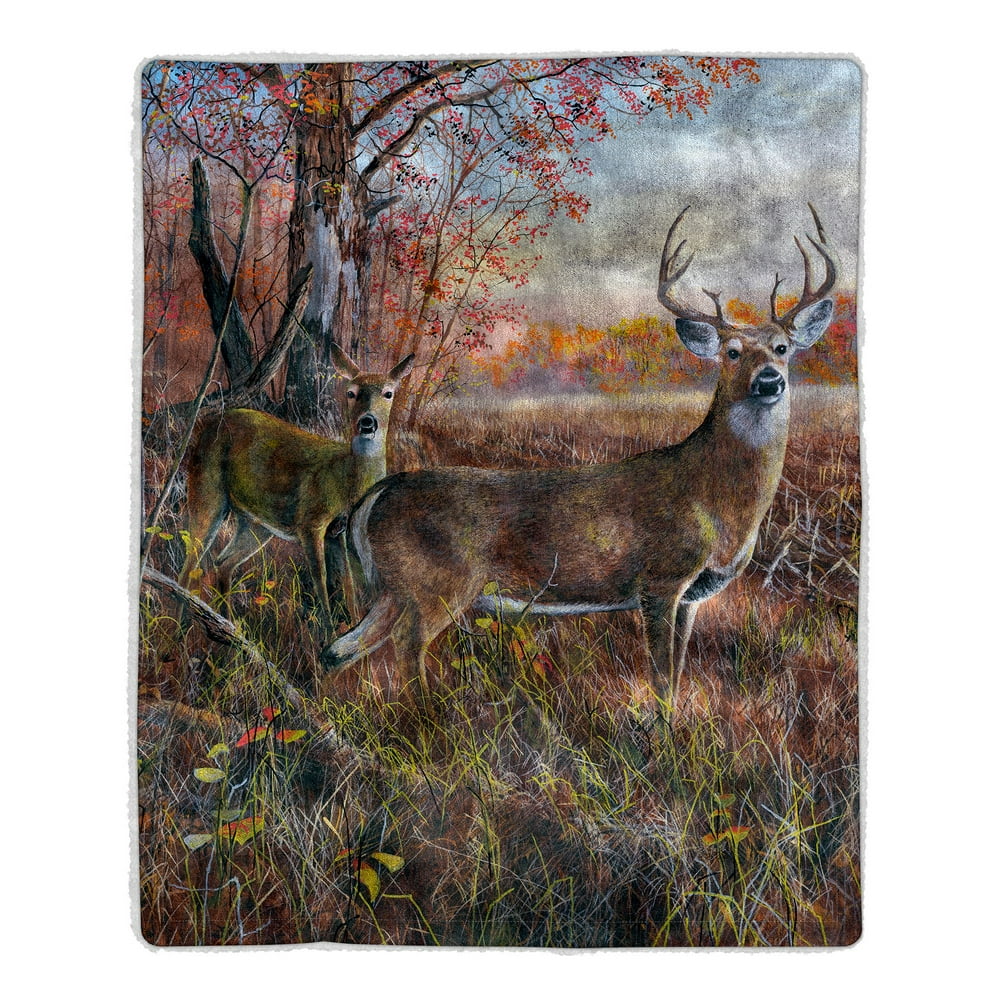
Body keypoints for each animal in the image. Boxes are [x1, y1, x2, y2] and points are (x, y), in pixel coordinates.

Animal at [178, 345, 415, 625]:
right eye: (351, 392)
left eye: (389, 393)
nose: (367, 422)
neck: (346, 480)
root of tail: (211, 423)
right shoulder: (310, 522)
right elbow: (321, 580)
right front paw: (329, 630)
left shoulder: (338, 532)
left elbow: (347, 583)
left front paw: (352, 625)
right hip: (206, 490)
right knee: (189, 565)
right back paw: (183, 626)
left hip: (258, 523)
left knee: (222, 561)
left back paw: (229, 624)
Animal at [319, 206, 835, 703]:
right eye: (731, 351)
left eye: (782, 348)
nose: (769, 379)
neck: (715, 501)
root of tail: (377, 493)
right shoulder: (661, 578)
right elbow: (661, 679)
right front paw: (662, 732)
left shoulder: (693, 595)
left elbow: (675, 675)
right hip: (437, 582)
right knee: (405, 647)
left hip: (396, 589)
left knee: (339, 648)